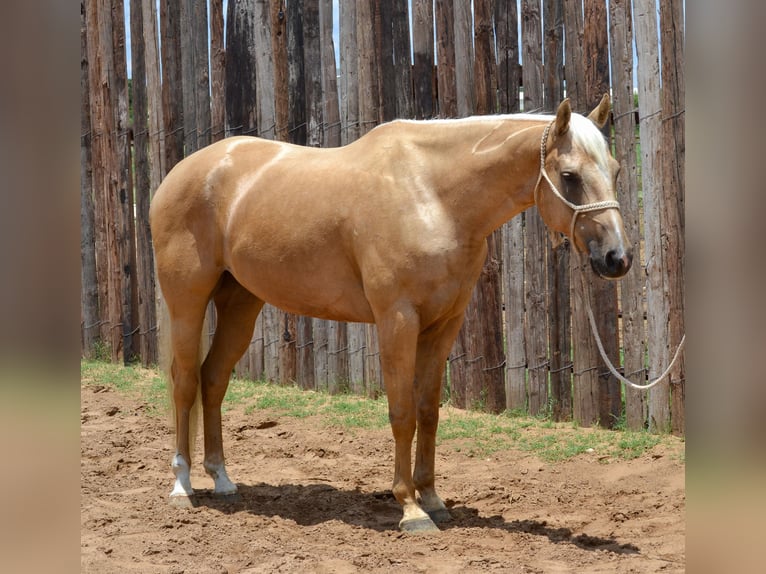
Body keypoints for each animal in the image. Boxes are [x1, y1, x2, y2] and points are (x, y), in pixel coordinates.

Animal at [152, 95, 636, 536]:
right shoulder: (397, 321)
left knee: (214, 379)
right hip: (187, 302)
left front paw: (433, 499)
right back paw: (182, 487)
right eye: (569, 176)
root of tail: (182, 174)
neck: (432, 195)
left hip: (241, 303)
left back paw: (221, 479)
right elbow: (402, 413)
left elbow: (428, 412)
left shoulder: (444, 325)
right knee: (185, 383)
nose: (618, 258)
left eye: (615, 171)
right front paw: (411, 508)